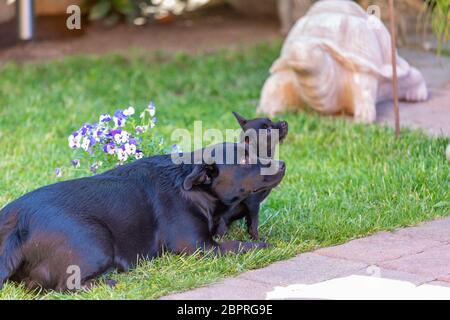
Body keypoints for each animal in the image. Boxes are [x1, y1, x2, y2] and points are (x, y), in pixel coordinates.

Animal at [0, 142, 284, 290]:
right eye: (244, 160)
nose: (282, 164)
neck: (193, 189)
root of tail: (18, 223)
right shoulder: (199, 247)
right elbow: (239, 245)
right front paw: (266, 244)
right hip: (95, 241)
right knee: (67, 286)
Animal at [212, 112, 288, 240]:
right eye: (268, 130)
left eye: (271, 121)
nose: (284, 122)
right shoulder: (253, 204)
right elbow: (253, 224)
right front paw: (257, 239)